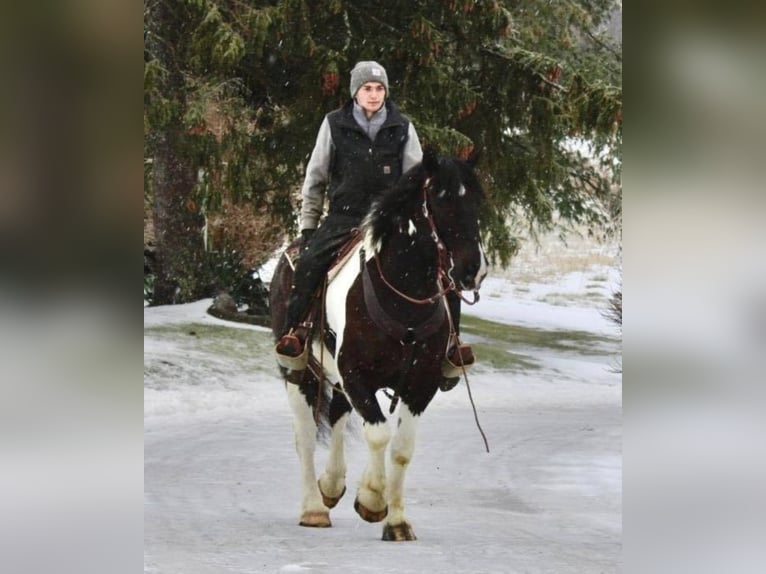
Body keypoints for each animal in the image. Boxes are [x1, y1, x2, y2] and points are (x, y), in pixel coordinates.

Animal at [270, 151, 486, 544]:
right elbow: (379, 433)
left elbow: (401, 449)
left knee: (338, 416)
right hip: (300, 374)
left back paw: (331, 484)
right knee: (305, 436)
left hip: (337, 380)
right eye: (441, 199)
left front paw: (396, 521)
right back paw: (313, 508)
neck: (404, 300)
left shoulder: (420, 384)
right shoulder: (357, 376)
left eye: (477, 201)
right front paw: (372, 499)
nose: (472, 270)